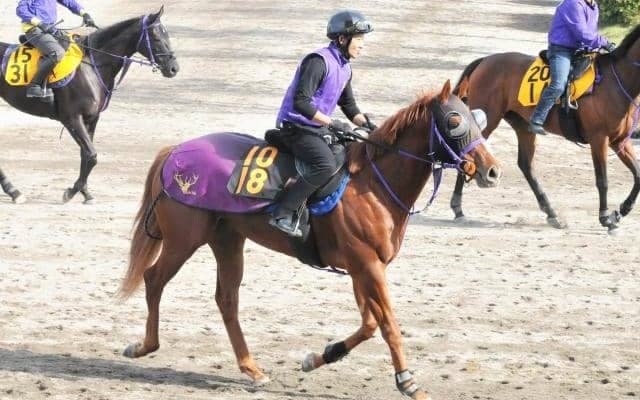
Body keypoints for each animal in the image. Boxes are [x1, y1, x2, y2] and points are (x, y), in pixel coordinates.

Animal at [0, 6, 178, 204]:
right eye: (156, 37)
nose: (173, 68)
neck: (91, 67)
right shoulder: (72, 118)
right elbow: (92, 156)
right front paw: (71, 192)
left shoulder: (91, 118)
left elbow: (85, 156)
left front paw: (85, 193)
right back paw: (13, 191)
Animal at [118, 79, 502, 400]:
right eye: (454, 120)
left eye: (476, 117)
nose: (492, 171)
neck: (372, 185)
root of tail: (175, 151)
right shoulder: (368, 266)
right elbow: (388, 324)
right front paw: (407, 381)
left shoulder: (362, 268)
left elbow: (369, 324)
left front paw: (320, 356)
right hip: (184, 239)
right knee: (154, 279)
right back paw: (143, 346)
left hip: (227, 240)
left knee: (226, 299)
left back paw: (251, 368)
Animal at [449, 24, 640, 233]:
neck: (615, 82)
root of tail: (484, 61)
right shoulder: (599, 139)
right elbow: (602, 180)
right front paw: (606, 218)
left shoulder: (619, 141)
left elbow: (638, 175)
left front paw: (621, 211)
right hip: (487, 121)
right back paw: (458, 209)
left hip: (523, 127)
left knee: (526, 165)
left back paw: (552, 213)